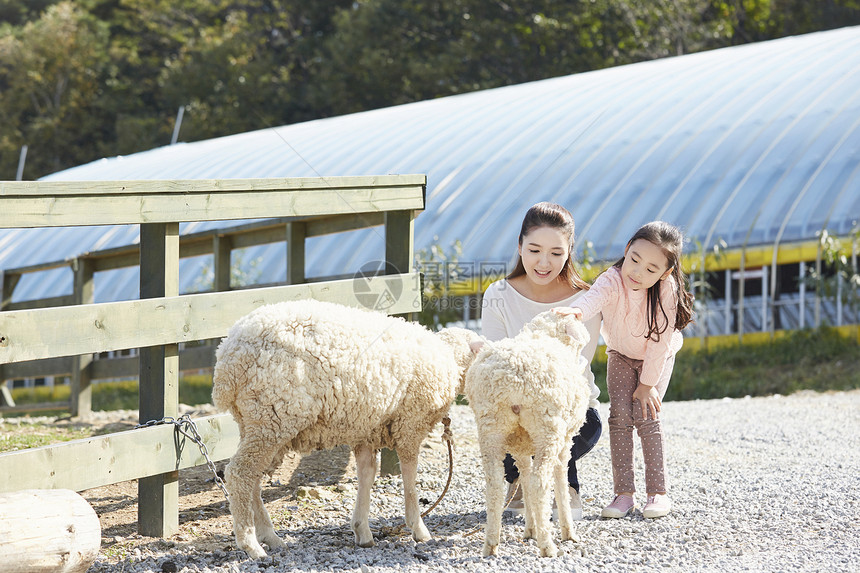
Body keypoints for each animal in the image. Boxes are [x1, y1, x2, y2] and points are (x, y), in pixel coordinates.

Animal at [208, 298, 478, 556]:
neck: (450, 360)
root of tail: (228, 356)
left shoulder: (366, 430)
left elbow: (367, 474)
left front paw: (362, 530)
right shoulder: (409, 424)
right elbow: (410, 478)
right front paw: (418, 528)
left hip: (256, 421)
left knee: (252, 478)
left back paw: (270, 537)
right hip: (271, 417)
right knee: (239, 473)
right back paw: (251, 545)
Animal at [464, 310, 592, 556]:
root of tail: (513, 377)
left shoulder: (520, 446)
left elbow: (524, 478)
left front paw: (530, 529)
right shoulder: (564, 443)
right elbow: (559, 480)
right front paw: (567, 532)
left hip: (491, 428)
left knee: (495, 485)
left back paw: (491, 543)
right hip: (548, 429)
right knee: (539, 482)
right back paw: (547, 545)